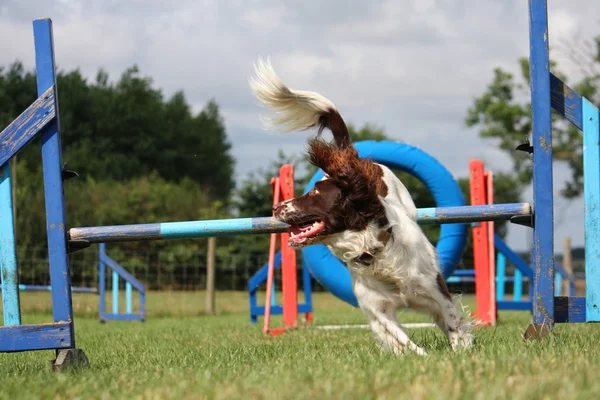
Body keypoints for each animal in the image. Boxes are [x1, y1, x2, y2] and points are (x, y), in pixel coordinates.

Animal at [248, 58, 474, 354]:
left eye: (315, 192)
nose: (275, 207)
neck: (376, 249)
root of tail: (355, 160)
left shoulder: (435, 290)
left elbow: (453, 322)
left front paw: (462, 352)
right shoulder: (377, 310)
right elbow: (402, 341)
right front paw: (421, 356)